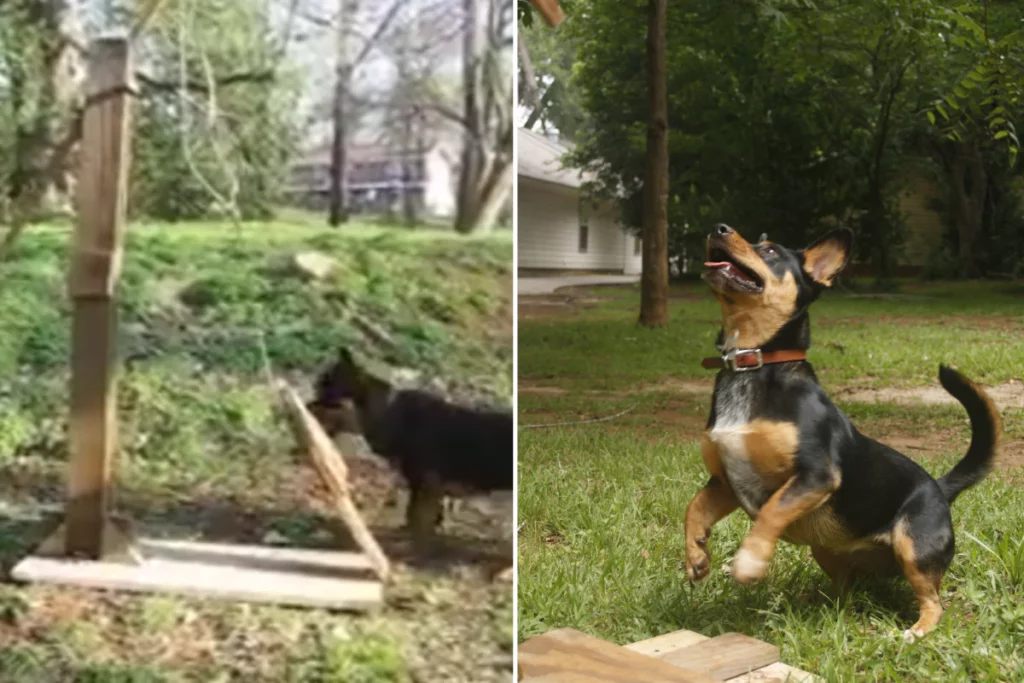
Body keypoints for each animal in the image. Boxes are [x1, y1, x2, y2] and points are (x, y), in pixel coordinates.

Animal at [303, 350, 512, 548]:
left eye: (326, 383)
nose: (306, 405)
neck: (386, 413)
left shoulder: (427, 483)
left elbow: (418, 526)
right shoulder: (420, 484)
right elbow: (414, 519)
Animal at [688, 223, 999, 643]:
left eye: (769, 250)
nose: (718, 228)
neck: (753, 365)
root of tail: (938, 486)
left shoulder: (815, 475)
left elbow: (772, 511)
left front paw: (750, 561)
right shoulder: (725, 482)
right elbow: (694, 508)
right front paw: (696, 555)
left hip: (915, 549)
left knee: (934, 603)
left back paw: (916, 631)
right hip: (826, 550)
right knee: (844, 592)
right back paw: (816, 605)